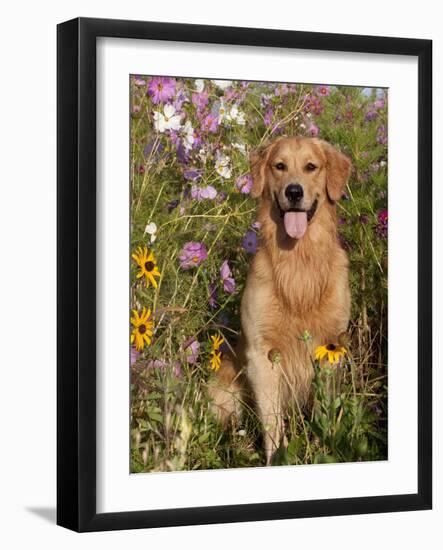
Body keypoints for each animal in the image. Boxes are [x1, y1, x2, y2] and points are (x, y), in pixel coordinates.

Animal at [210, 135, 352, 466]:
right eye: (279, 166)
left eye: (311, 166)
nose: (294, 191)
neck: (298, 262)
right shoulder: (262, 355)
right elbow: (272, 422)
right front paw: (279, 457)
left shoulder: (330, 348)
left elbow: (325, 411)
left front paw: (326, 446)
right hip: (223, 389)